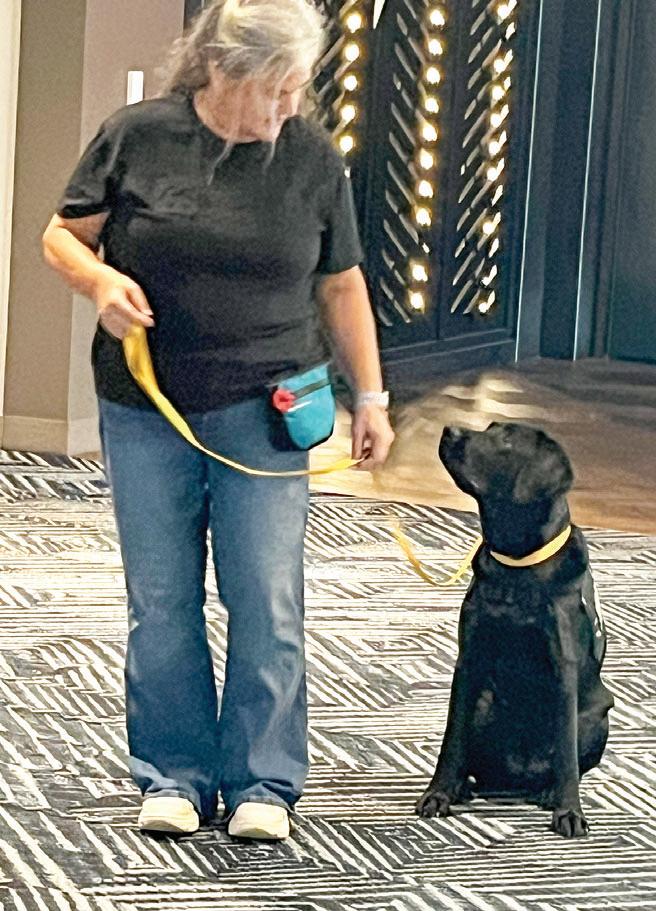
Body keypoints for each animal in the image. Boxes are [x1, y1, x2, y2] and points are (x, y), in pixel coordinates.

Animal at [416, 422, 614, 838]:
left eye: (505, 440)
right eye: (490, 428)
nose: (449, 430)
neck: (517, 565)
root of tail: (515, 780)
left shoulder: (563, 668)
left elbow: (567, 755)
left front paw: (570, 811)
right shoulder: (469, 659)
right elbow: (451, 739)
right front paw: (438, 793)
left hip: (596, 717)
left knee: (568, 760)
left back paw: (548, 791)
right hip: (485, 706)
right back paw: (464, 787)